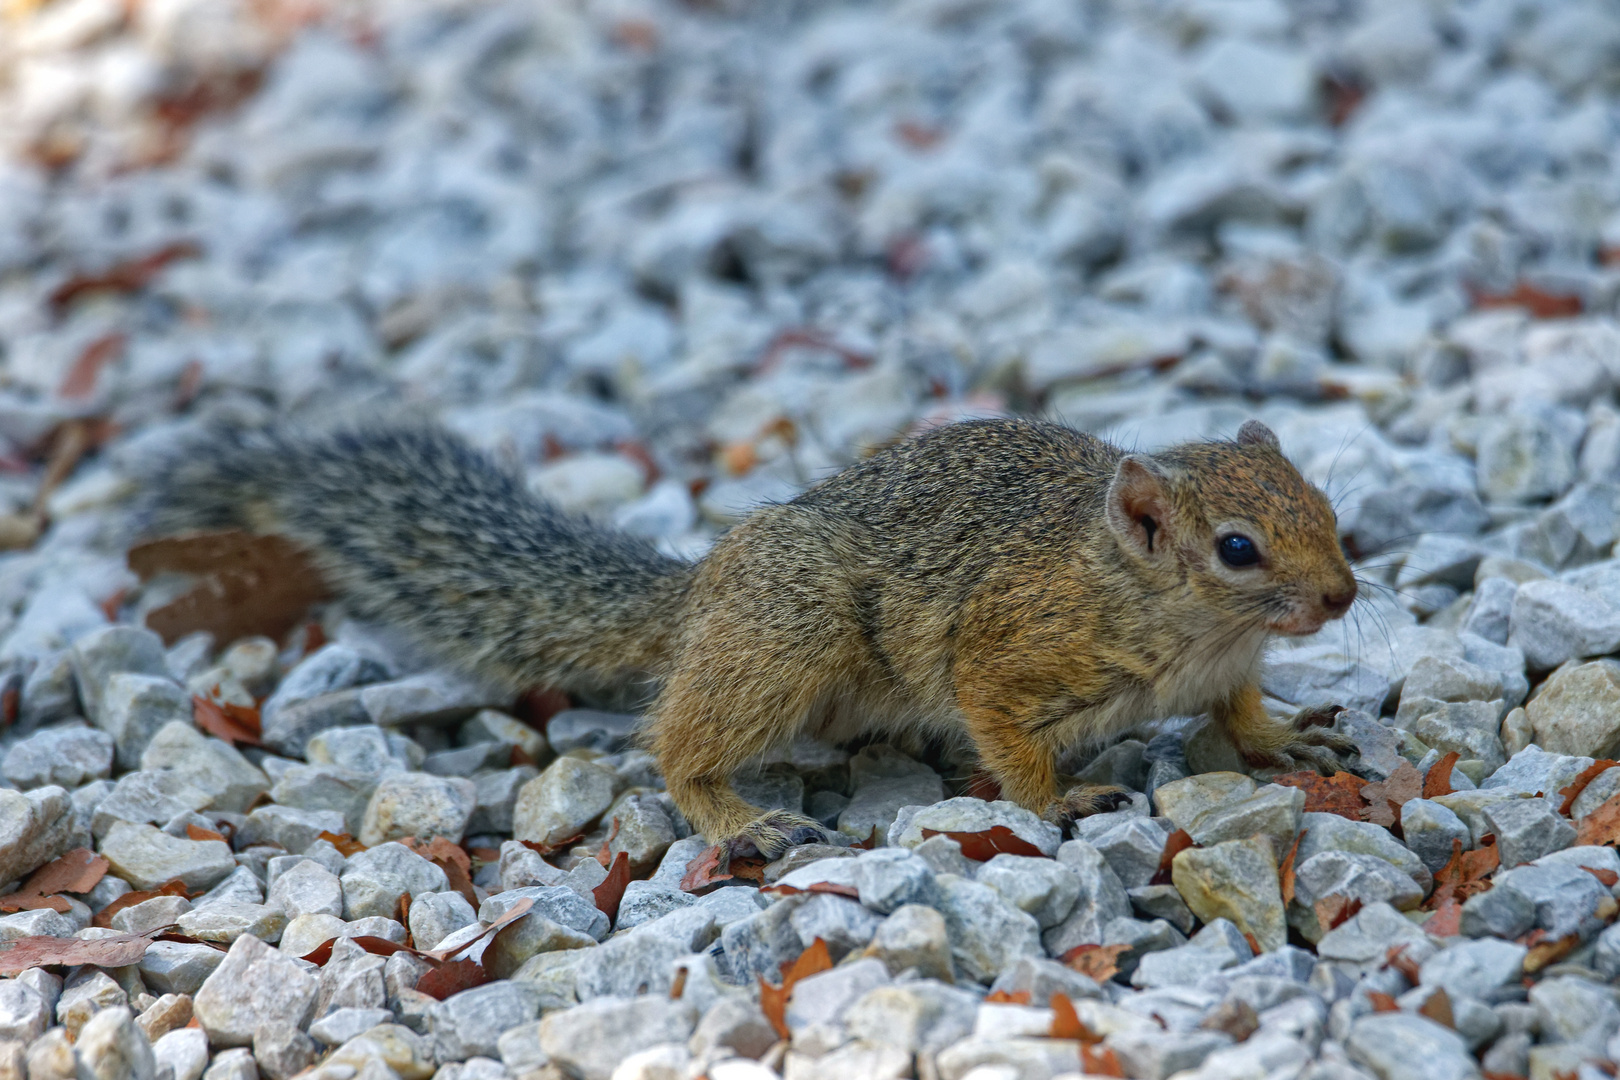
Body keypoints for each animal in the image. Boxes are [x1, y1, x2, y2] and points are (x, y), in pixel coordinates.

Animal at [139, 417, 1360, 854]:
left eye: (1324, 503)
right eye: (1239, 548)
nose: (1347, 597)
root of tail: (697, 599)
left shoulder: (1226, 670)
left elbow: (1241, 711)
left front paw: (1283, 742)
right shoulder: (1006, 651)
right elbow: (1006, 737)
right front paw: (1056, 802)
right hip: (790, 638)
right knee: (674, 744)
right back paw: (736, 819)